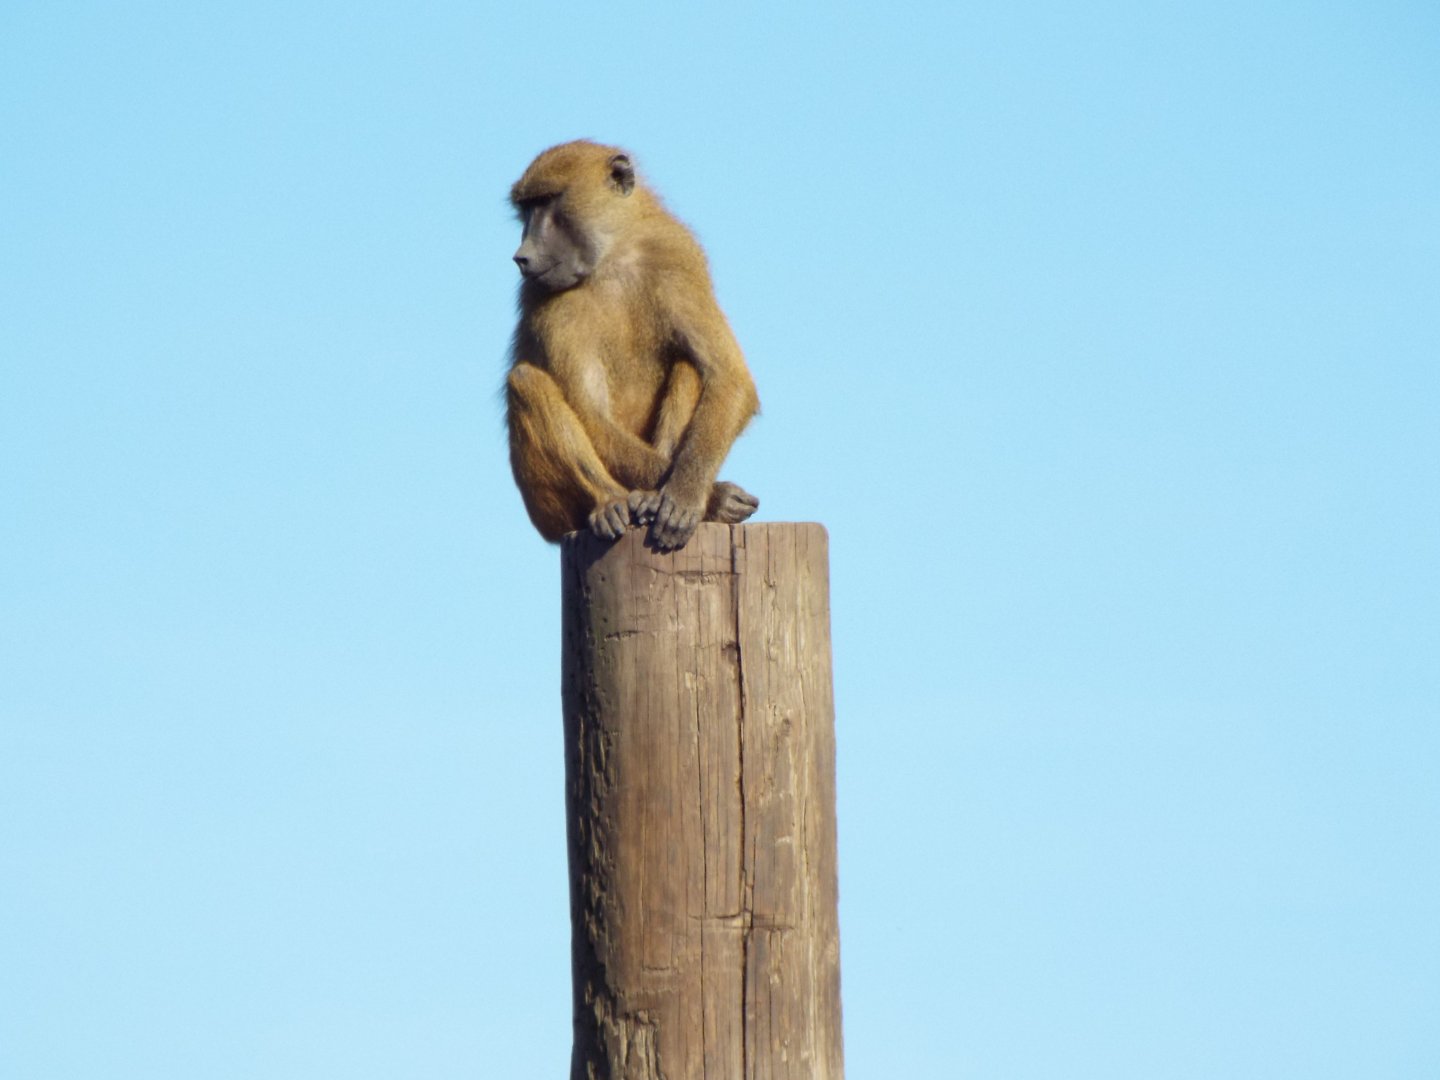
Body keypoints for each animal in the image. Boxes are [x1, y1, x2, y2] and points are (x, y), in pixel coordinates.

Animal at [504, 140, 760, 552]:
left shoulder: (676, 256)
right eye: (527, 209)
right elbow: (589, 410)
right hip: (550, 513)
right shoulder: (548, 297)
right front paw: (718, 497)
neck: (612, 256)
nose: (522, 256)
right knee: (525, 380)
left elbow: (729, 376)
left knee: (689, 362)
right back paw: (612, 502)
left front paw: (685, 496)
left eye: (547, 201)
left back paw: (651, 498)